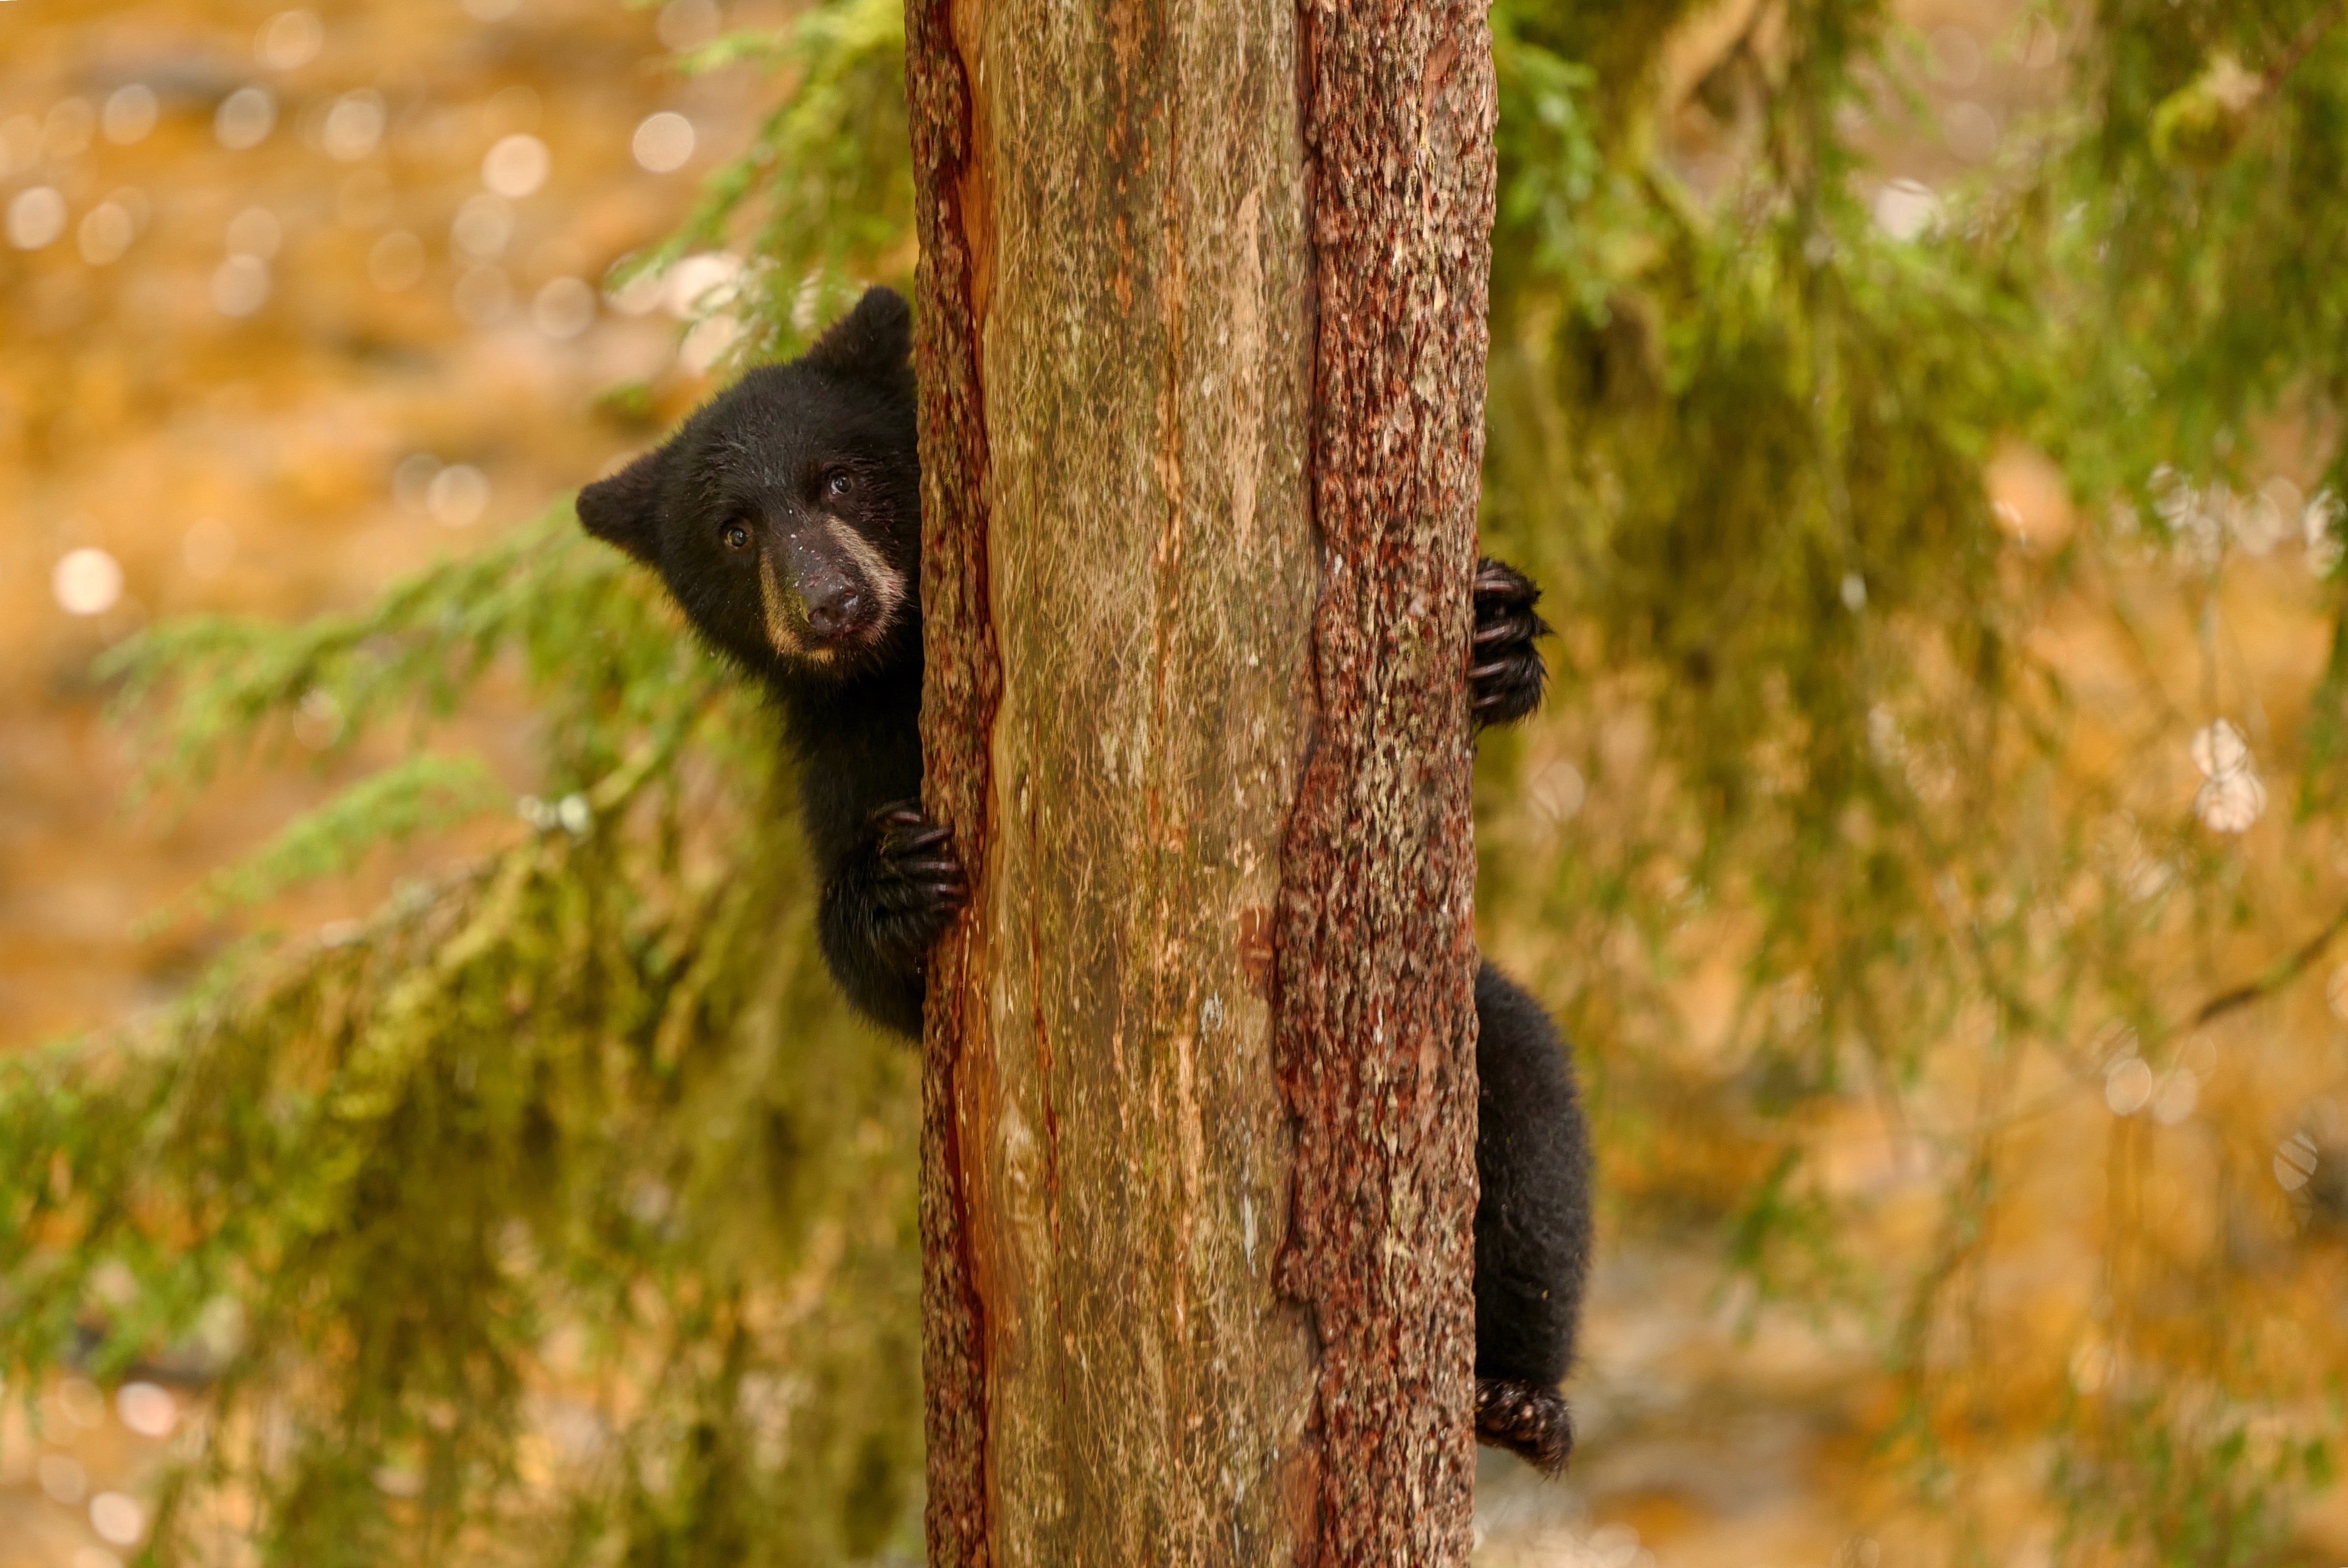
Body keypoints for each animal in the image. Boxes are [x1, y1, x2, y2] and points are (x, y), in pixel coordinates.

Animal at [578, 285, 1592, 1474]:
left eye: (838, 480)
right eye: (734, 531)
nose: (831, 602)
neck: (901, 667)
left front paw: (1500, 638)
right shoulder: (840, 752)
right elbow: (873, 973)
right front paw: (894, 886)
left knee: (1531, 1123)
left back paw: (1521, 1397)